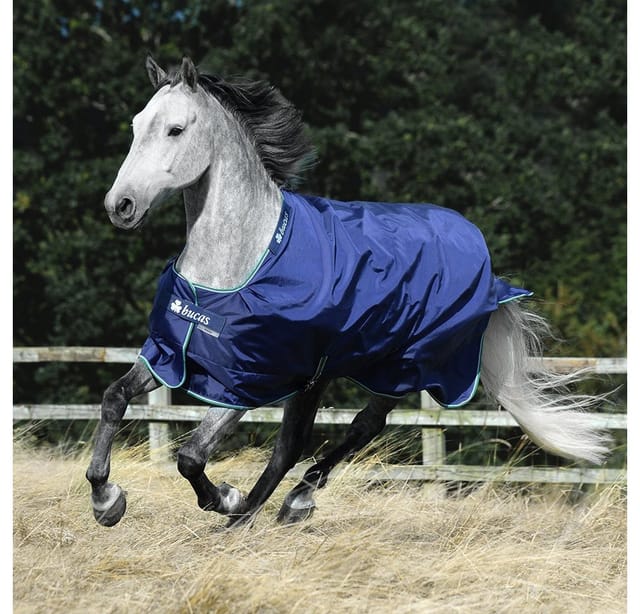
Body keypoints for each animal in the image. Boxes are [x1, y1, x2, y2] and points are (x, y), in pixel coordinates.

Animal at [86, 56, 610, 528]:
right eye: (136, 126)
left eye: (175, 129)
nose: (120, 205)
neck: (238, 264)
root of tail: (483, 257)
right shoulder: (171, 354)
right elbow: (114, 397)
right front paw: (106, 499)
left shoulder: (249, 380)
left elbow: (191, 456)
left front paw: (223, 497)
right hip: (321, 376)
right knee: (293, 445)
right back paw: (256, 515)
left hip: (402, 366)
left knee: (360, 427)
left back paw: (279, 505)